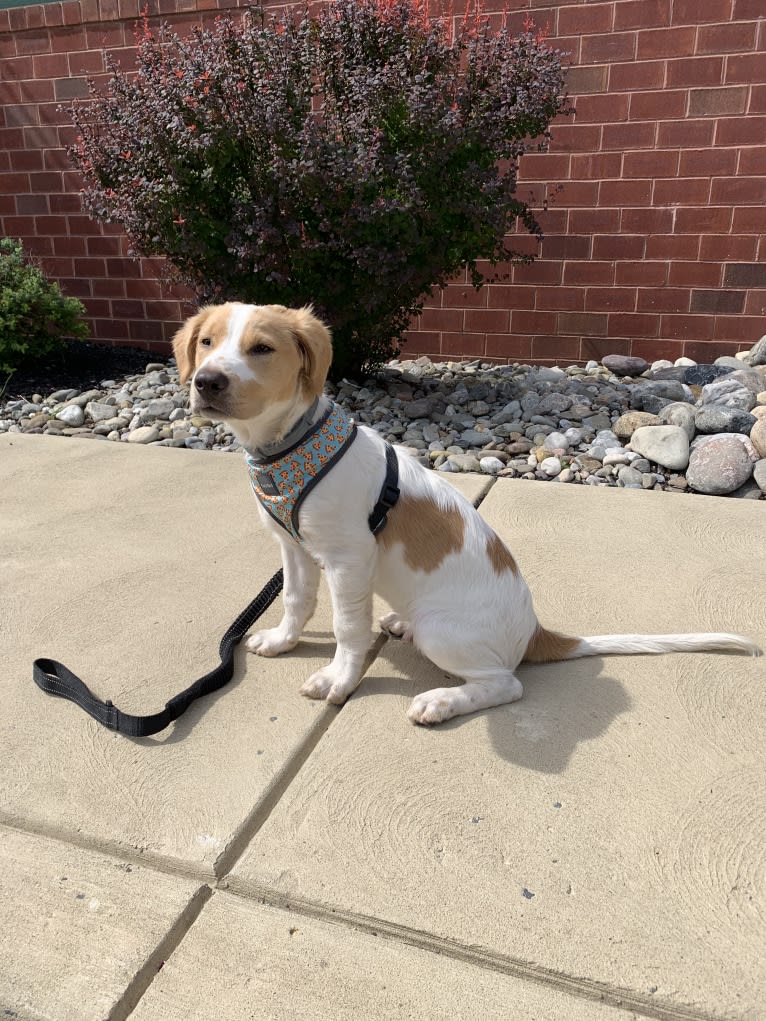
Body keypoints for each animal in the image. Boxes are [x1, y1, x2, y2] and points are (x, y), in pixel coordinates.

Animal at [172, 302, 763, 726]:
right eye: (207, 342)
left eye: (262, 348)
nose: (206, 382)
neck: (286, 449)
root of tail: (535, 632)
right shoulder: (293, 547)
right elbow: (297, 600)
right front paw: (282, 641)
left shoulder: (347, 559)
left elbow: (346, 626)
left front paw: (339, 680)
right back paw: (398, 625)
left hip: (445, 632)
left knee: (506, 683)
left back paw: (441, 702)